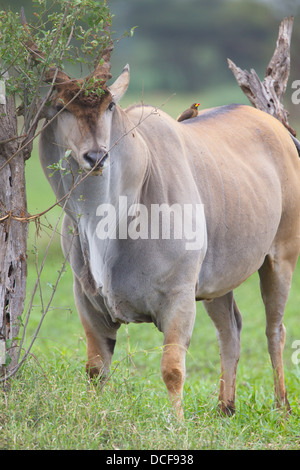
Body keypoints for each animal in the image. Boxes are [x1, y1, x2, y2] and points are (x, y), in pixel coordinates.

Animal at [38, 47, 300, 416]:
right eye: (62, 107)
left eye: (110, 106)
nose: (96, 156)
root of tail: (280, 130)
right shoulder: (87, 300)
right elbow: (96, 368)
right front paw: (92, 416)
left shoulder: (179, 298)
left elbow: (172, 369)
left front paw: (176, 423)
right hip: (216, 285)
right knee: (231, 330)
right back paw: (225, 408)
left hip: (280, 259)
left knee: (274, 330)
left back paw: (282, 406)